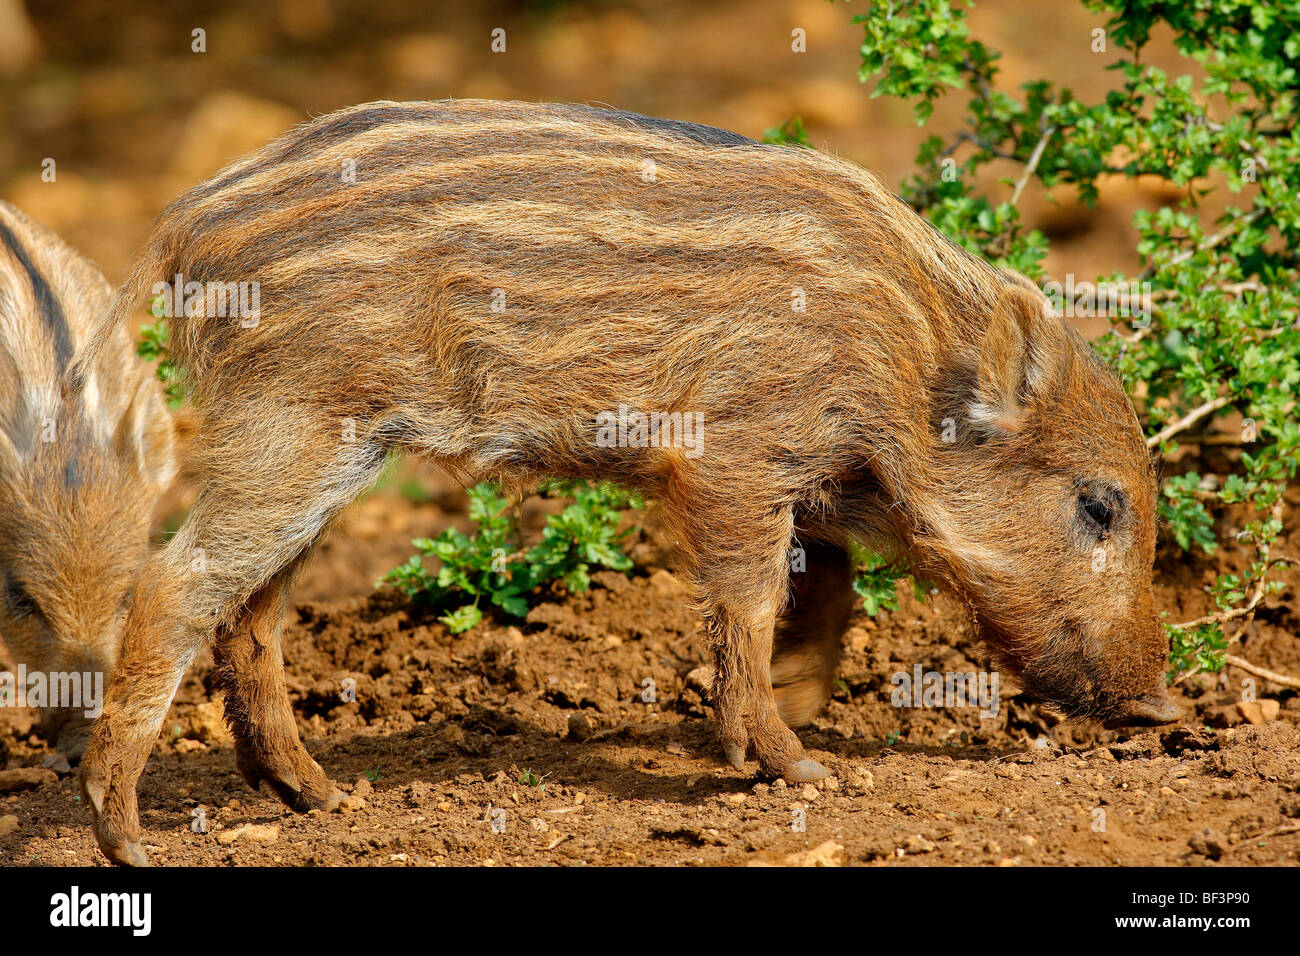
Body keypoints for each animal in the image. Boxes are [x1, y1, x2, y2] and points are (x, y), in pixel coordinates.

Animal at [64, 100, 1179, 866]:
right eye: (1099, 503)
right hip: (294, 426)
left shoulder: (823, 480)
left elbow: (826, 589)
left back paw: (322, 798)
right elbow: (750, 600)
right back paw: (128, 837)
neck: (901, 358)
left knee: (251, 613)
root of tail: (181, 226)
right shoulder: (736, 453)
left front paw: (794, 716)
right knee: (172, 585)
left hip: (323, 450)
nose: (1164, 708)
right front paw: (802, 767)